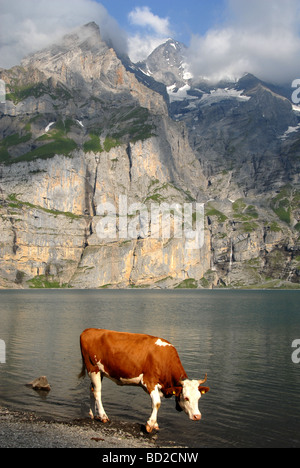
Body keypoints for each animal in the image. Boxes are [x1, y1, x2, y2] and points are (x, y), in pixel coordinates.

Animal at [78, 330, 210, 432]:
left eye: (199, 397)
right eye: (186, 398)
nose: (197, 416)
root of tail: (88, 330)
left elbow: (153, 404)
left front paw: (154, 423)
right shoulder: (149, 381)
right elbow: (157, 403)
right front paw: (150, 425)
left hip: (99, 372)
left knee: (92, 389)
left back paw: (93, 414)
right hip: (93, 368)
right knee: (97, 392)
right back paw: (103, 416)